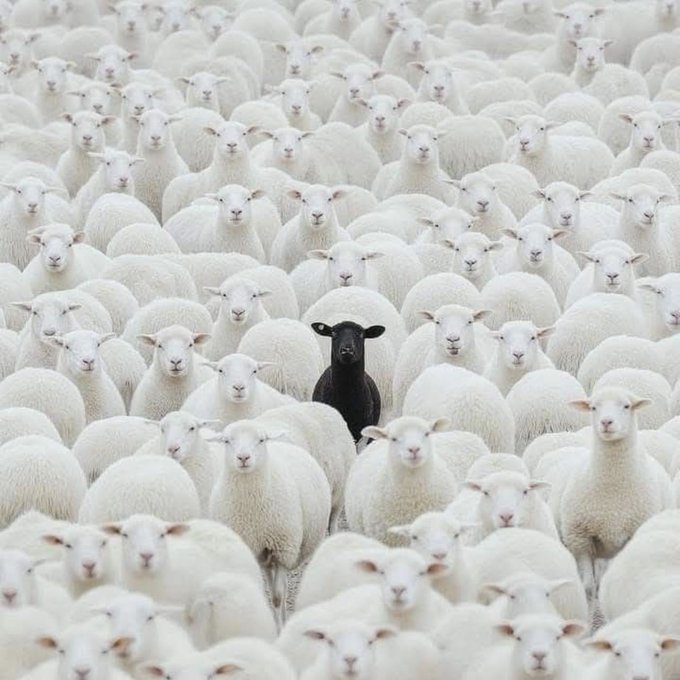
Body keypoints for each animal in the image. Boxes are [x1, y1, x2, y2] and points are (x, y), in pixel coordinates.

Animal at [208, 419, 331, 626]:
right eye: (226, 441)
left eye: (261, 440)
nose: (243, 457)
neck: (252, 513)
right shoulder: (255, 551)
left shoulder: (283, 550)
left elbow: (277, 597)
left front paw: (280, 626)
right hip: (266, 557)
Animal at [560, 387, 674, 603]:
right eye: (593, 407)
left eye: (626, 406)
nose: (606, 422)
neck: (613, 490)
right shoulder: (580, 539)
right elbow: (588, 588)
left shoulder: (630, 535)